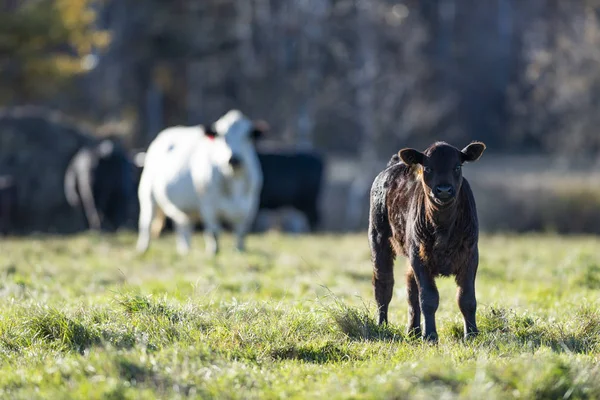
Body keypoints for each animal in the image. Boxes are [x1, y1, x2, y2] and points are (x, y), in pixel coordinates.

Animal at [137, 109, 268, 255]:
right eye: (221, 136)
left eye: (248, 136)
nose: (233, 159)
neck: (233, 179)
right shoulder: (208, 205)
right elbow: (213, 232)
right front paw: (213, 253)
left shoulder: (250, 206)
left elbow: (241, 234)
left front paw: (239, 251)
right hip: (147, 194)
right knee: (146, 223)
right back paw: (142, 249)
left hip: (183, 208)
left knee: (183, 227)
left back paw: (185, 251)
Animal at [368, 140, 486, 340]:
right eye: (428, 168)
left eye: (457, 166)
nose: (444, 190)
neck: (444, 227)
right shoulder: (419, 256)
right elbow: (429, 298)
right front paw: (430, 335)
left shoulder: (470, 255)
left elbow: (466, 298)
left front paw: (471, 334)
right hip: (378, 237)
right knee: (383, 285)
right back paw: (382, 325)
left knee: (410, 289)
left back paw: (413, 331)